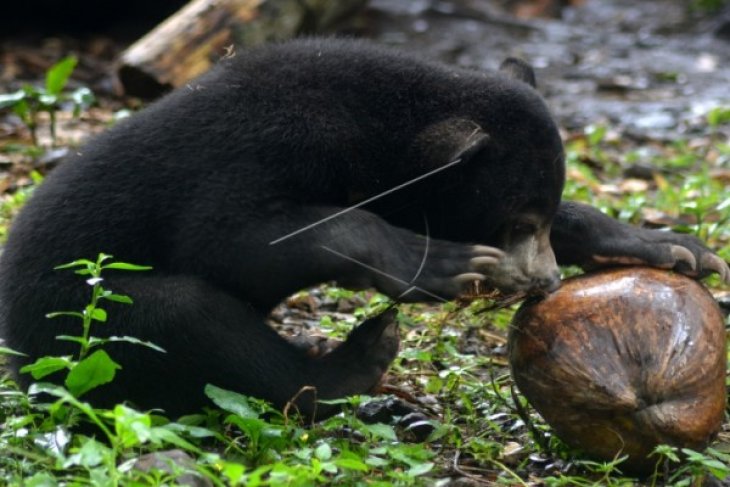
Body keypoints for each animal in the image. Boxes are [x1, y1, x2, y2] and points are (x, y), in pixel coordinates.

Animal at [0, 39, 724, 420]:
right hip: (75, 316)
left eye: (538, 218)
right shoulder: (247, 152)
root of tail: (14, 350)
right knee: (191, 314)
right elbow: (231, 239)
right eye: (516, 220)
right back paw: (359, 361)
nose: (544, 283)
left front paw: (679, 248)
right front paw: (446, 266)